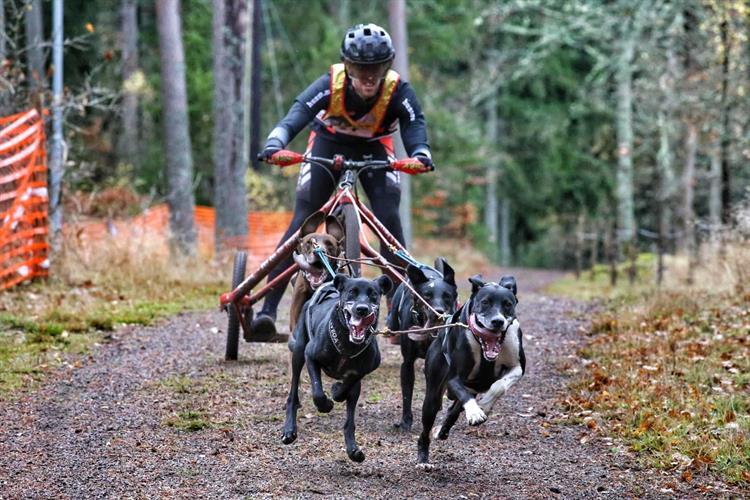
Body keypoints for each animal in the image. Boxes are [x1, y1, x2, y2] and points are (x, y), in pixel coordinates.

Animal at [284, 272, 394, 462]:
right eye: (352, 292)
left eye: (373, 294)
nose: (362, 309)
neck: (348, 343)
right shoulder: (310, 356)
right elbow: (318, 392)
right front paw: (326, 404)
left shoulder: (362, 371)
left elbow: (347, 384)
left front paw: (336, 390)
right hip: (298, 353)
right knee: (293, 390)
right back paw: (289, 431)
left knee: (349, 420)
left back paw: (353, 450)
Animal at [388, 258, 458, 430]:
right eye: (426, 296)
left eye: (447, 296)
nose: (437, 312)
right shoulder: (407, 363)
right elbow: (407, 393)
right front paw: (406, 420)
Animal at [418, 274, 528, 468]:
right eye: (485, 302)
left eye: (508, 304)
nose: (497, 321)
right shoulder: (454, 379)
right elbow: (463, 393)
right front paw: (476, 412)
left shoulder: (518, 367)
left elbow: (499, 386)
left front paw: (484, 405)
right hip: (432, 396)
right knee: (426, 426)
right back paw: (423, 458)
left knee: (453, 411)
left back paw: (443, 430)